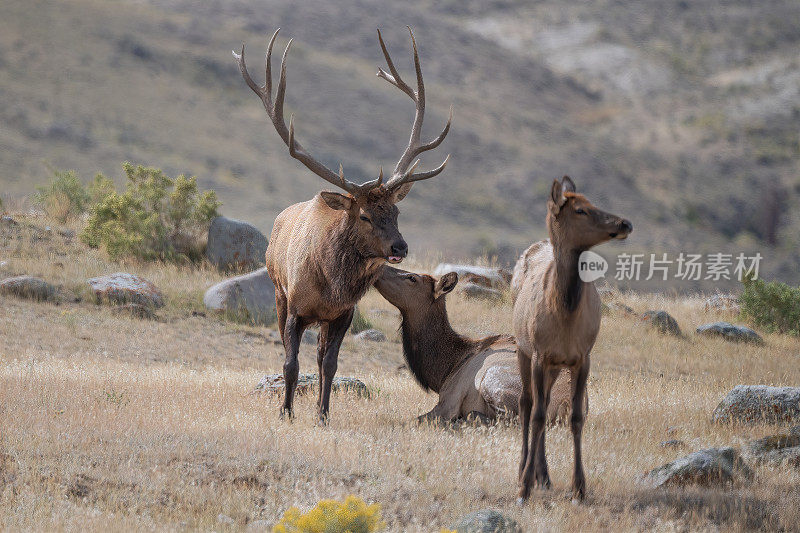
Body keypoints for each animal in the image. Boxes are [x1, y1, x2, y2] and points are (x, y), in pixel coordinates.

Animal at [234, 28, 454, 420]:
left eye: (396, 213)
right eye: (364, 215)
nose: (400, 247)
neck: (330, 285)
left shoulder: (343, 314)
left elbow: (331, 365)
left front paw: (322, 415)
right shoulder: (294, 306)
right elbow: (290, 363)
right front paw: (286, 412)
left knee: (321, 358)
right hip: (277, 291)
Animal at [376, 266, 588, 424]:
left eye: (412, 278)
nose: (381, 267)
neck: (446, 367)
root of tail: (565, 406)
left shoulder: (448, 401)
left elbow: (412, 420)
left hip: (493, 378)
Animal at [512, 176, 632, 502]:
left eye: (594, 201)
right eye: (580, 209)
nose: (625, 222)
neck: (564, 315)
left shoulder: (582, 357)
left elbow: (576, 417)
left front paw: (579, 486)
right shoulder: (539, 353)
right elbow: (538, 415)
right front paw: (524, 487)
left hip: (554, 366)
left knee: (544, 401)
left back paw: (544, 475)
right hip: (522, 348)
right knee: (527, 403)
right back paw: (523, 470)